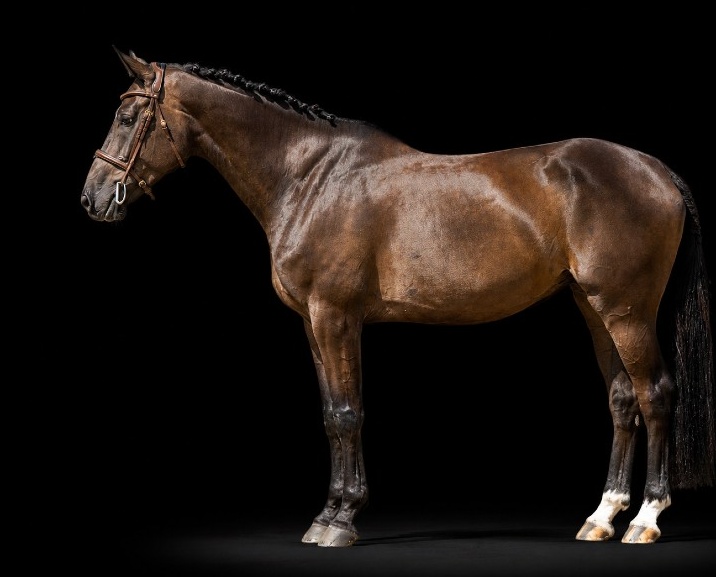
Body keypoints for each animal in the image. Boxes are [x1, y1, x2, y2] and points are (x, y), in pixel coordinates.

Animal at [81, 47, 715, 548]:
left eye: (128, 115)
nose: (92, 198)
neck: (309, 177)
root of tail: (656, 170)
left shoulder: (335, 316)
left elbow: (346, 413)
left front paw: (339, 522)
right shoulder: (312, 322)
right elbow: (330, 415)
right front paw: (329, 514)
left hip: (628, 310)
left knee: (656, 394)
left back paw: (646, 519)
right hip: (594, 307)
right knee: (622, 400)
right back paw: (602, 517)